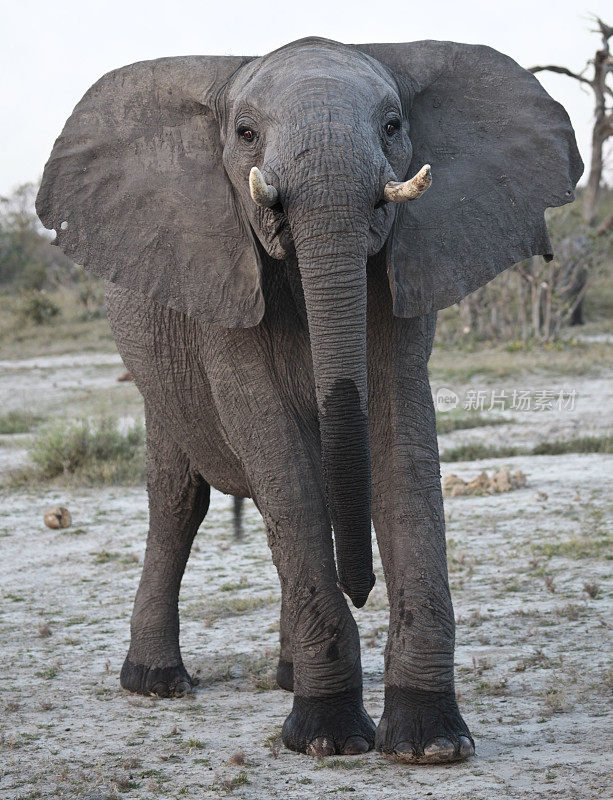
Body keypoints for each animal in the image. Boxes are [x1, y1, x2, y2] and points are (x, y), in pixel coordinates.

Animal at [35, 37, 580, 764]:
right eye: (244, 134)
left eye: (392, 126)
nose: (362, 587)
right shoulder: (220, 273)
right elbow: (273, 445)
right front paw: (328, 737)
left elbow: (401, 439)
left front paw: (428, 742)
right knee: (180, 499)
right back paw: (157, 682)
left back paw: (288, 676)